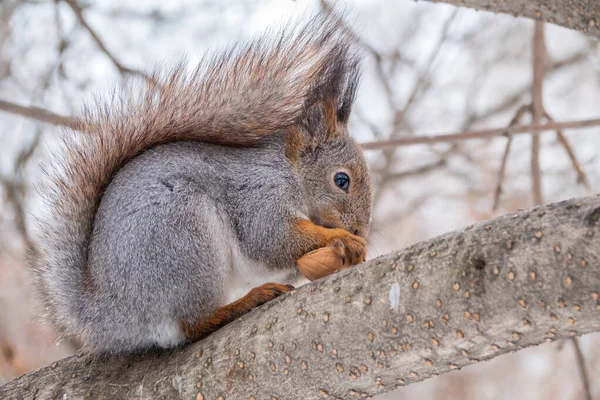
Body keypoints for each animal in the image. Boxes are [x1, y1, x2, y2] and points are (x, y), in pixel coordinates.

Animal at [31, 14, 376, 354]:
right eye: (341, 180)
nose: (360, 230)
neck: (289, 173)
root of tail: (109, 316)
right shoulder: (260, 195)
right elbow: (272, 239)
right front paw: (343, 238)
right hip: (184, 238)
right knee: (192, 324)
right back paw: (245, 302)